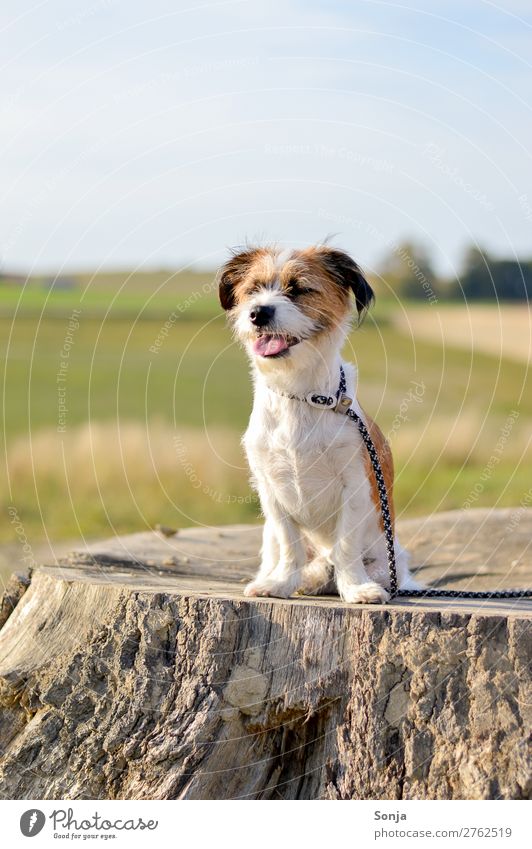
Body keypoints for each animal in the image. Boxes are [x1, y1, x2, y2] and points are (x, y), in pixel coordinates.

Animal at [217, 245, 420, 604]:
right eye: (253, 290)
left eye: (298, 289)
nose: (258, 313)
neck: (301, 396)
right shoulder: (272, 491)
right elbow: (289, 544)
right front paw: (280, 583)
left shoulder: (355, 484)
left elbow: (346, 547)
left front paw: (355, 587)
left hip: (386, 558)